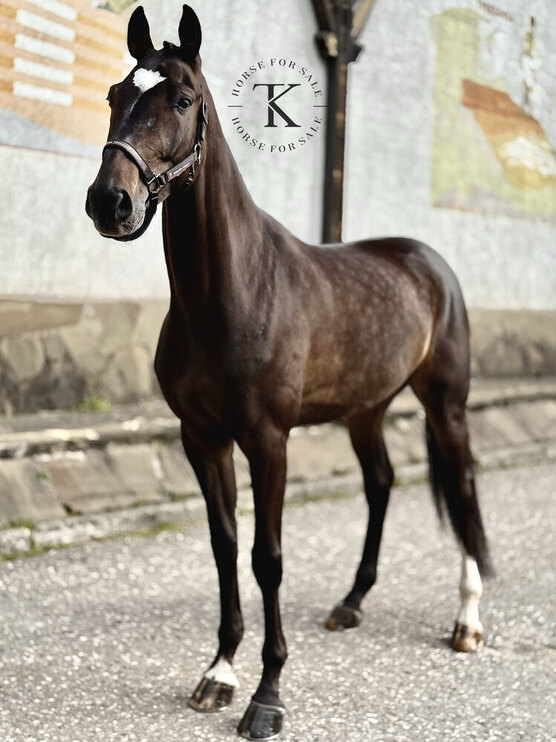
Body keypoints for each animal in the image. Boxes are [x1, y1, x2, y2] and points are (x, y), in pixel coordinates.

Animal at [86, 5, 492, 739]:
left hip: (445, 405)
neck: (231, 293)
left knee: (466, 492)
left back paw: (468, 621)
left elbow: (266, 558)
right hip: (366, 411)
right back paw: (352, 602)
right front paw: (220, 672)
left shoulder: (269, 440)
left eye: (182, 99)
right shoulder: (202, 438)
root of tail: (426, 262)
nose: (111, 203)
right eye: (113, 95)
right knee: (381, 485)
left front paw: (267, 695)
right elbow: (225, 548)